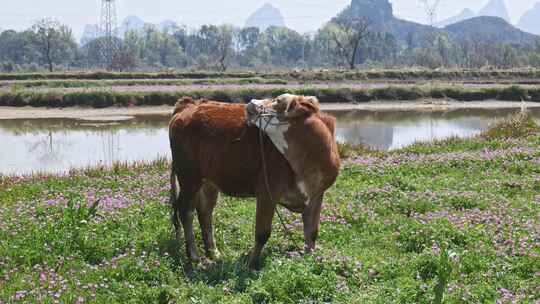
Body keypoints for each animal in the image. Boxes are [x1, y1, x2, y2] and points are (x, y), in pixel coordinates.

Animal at [169, 94, 340, 268]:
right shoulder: (267, 192)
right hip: (189, 177)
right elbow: (262, 233)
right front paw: (251, 263)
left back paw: (213, 252)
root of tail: (190, 104)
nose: (251, 103)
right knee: (186, 212)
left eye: (278, 101)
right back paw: (194, 257)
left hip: (208, 181)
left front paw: (311, 258)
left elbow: (312, 232)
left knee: (205, 212)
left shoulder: (317, 195)